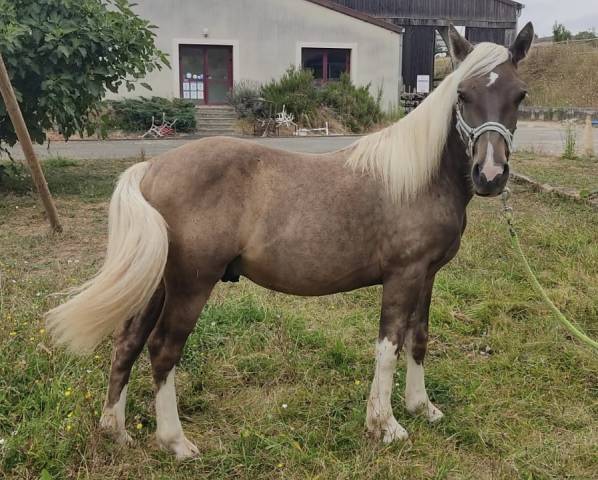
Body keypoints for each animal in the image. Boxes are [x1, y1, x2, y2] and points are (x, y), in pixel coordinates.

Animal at [45, 24, 536, 460]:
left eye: (520, 96)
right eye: (463, 95)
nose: (491, 175)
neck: (419, 176)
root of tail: (152, 169)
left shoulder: (427, 277)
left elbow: (418, 338)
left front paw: (422, 407)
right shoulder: (403, 276)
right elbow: (389, 347)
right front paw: (386, 425)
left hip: (159, 284)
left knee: (128, 341)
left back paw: (116, 430)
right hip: (190, 286)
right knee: (163, 350)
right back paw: (176, 442)